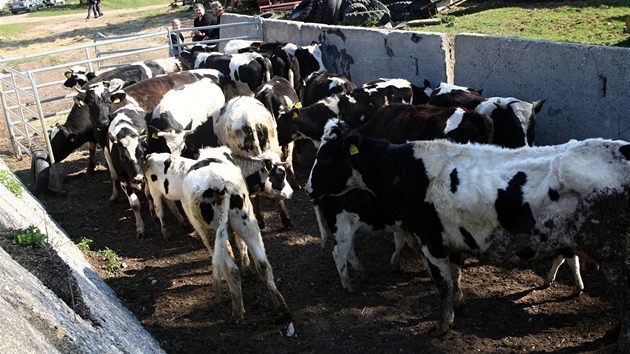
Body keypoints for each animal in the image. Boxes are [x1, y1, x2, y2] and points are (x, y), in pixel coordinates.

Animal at [179, 145, 296, 324]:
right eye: (280, 174)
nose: (291, 192)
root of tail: (216, 183)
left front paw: (245, 267)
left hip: (210, 233)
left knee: (229, 268)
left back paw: (238, 311)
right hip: (246, 222)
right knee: (262, 264)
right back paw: (281, 309)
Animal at [310, 119, 630, 352]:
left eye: (324, 159)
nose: (308, 188)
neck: (406, 171)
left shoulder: (431, 242)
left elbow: (443, 286)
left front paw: (443, 325)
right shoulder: (452, 241)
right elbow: (456, 277)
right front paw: (460, 304)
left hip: (615, 257)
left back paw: (621, 340)